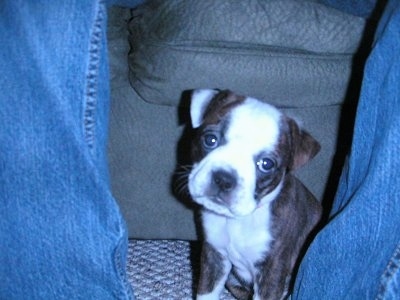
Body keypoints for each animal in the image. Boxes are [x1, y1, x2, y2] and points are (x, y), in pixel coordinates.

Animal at [187, 88, 322, 298]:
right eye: (210, 140)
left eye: (266, 164)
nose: (223, 179)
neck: (236, 221)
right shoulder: (214, 257)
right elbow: (206, 293)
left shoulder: (271, 271)